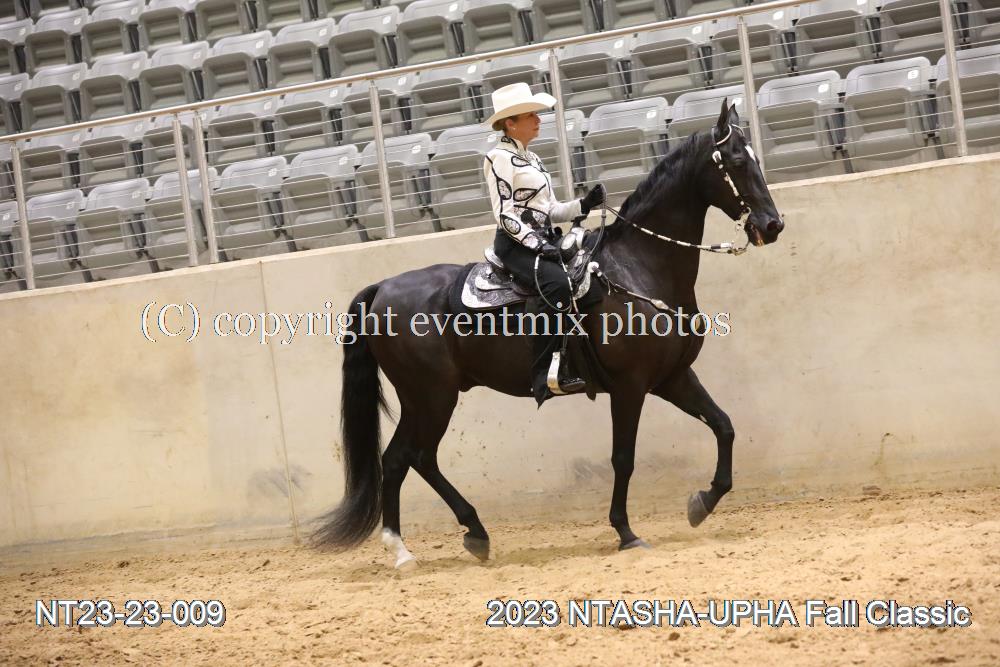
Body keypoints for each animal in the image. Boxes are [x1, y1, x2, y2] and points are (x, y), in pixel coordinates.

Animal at [313, 99, 785, 568]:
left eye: (758, 160)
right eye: (737, 162)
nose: (772, 225)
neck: (638, 267)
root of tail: (383, 288)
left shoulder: (673, 377)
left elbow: (724, 426)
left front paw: (702, 502)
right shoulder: (630, 386)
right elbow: (623, 458)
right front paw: (626, 532)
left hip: (424, 399)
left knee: (403, 459)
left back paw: (433, 543)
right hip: (431, 395)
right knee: (413, 457)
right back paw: (434, 541)